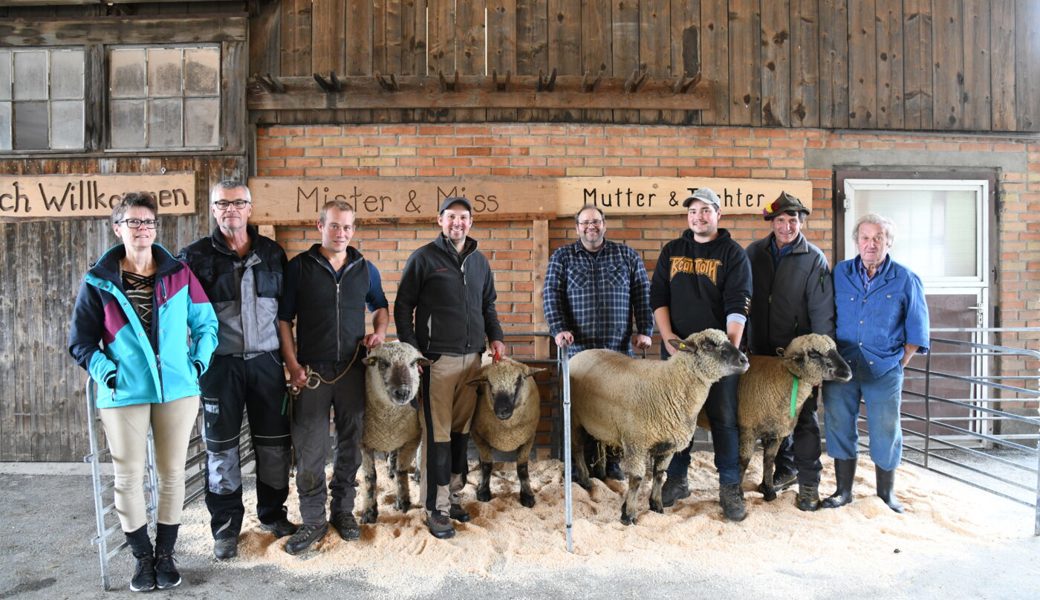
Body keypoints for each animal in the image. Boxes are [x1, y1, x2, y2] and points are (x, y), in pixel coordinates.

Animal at [359, 341, 428, 524]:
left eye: (413, 363)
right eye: (383, 363)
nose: (403, 392)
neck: (388, 419)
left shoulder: (411, 439)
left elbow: (401, 471)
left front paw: (403, 502)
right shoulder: (363, 443)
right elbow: (370, 477)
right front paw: (369, 512)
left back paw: (417, 475)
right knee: (392, 455)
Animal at [465, 357, 544, 507]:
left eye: (518, 380)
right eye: (489, 383)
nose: (502, 410)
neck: (507, 431)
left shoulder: (529, 438)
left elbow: (522, 469)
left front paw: (527, 495)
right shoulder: (478, 436)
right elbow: (487, 466)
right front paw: (483, 492)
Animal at [569, 328, 748, 524]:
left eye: (728, 339)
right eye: (708, 345)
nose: (744, 360)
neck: (668, 386)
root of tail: (580, 353)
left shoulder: (667, 446)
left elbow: (659, 475)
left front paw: (656, 506)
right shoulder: (636, 444)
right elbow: (636, 480)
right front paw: (628, 514)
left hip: (600, 422)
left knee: (598, 444)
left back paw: (600, 474)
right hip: (575, 418)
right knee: (577, 448)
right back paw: (586, 481)